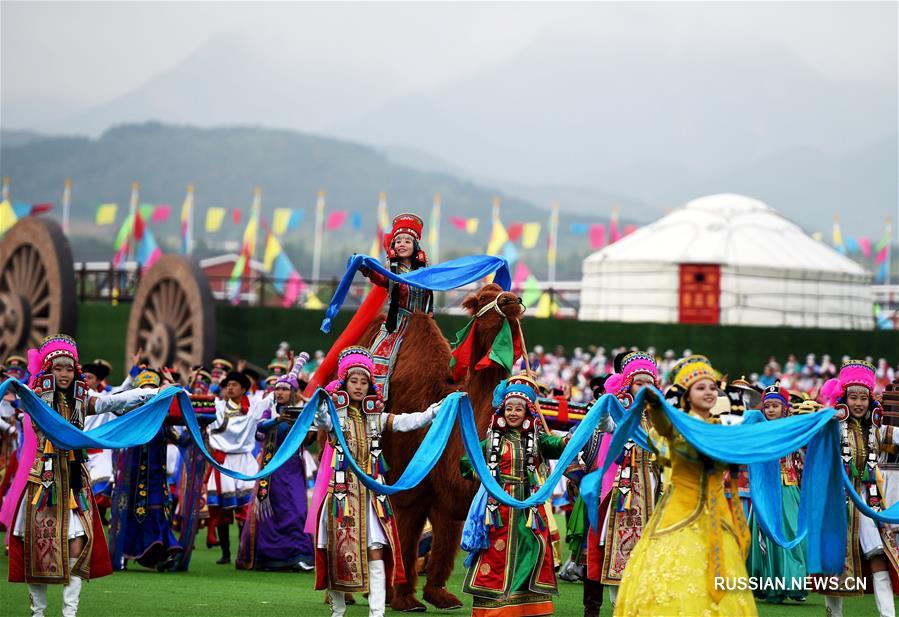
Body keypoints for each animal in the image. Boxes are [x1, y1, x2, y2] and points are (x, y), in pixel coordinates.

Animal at [356, 284, 528, 612]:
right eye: (483, 298)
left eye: (505, 290)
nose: (512, 301)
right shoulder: (408, 490)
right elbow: (405, 540)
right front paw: (404, 598)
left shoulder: (447, 496)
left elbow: (446, 541)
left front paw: (440, 596)